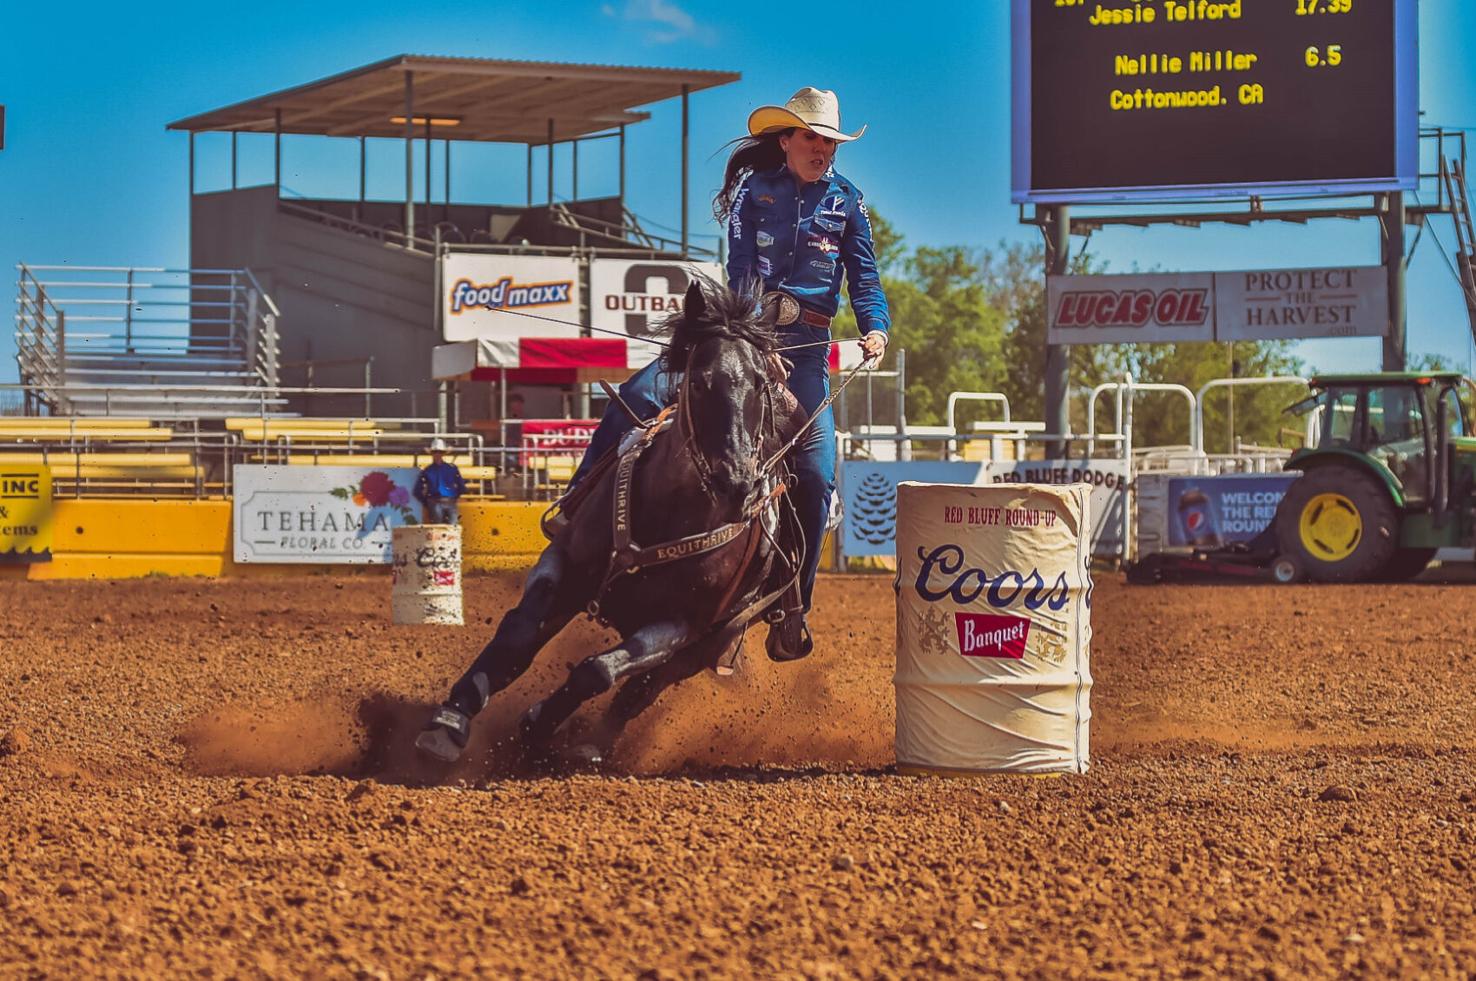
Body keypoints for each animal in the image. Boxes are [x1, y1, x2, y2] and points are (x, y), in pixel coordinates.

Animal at [416, 278, 808, 767]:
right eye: (699, 382)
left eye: (762, 385)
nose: (737, 484)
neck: (671, 512)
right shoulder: (563, 566)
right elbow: (517, 634)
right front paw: (449, 723)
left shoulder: (681, 624)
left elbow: (598, 672)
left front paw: (538, 724)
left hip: (712, 642)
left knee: (640, 691)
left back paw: (593, 743)